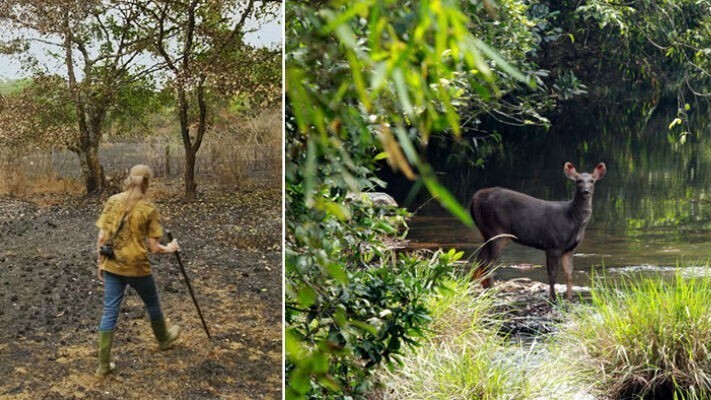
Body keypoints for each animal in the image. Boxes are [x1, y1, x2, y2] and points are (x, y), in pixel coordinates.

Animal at [470, 161, 608, 302]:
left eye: (592, 181)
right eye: (578, 181)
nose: (586, 191)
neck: (572, 218)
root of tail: (475, 198)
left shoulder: (569, 249)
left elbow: (569, 274)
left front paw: (569, 299)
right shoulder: (553, 244)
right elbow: (552, 274)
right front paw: (553, 298)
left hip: (486, 233)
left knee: (480, 259)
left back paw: (480, 287)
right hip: (497, 231)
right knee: (488, 262)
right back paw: (491, 289)